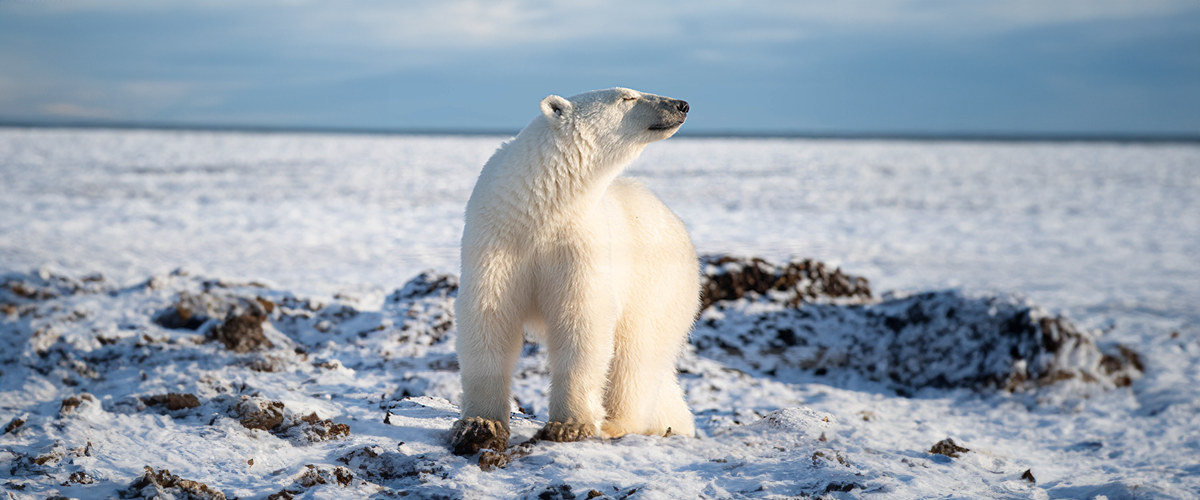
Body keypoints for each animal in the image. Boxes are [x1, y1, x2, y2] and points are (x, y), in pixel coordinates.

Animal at [451, 87, 700, 453]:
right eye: (627, 97)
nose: (682, 104)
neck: (539, 208)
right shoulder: (497, 238)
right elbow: (489, 315)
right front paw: (480, 424)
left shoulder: (579, 241)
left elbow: (581, 318)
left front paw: (570, 425)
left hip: (658, 286)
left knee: (636, 354)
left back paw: (616, 423)